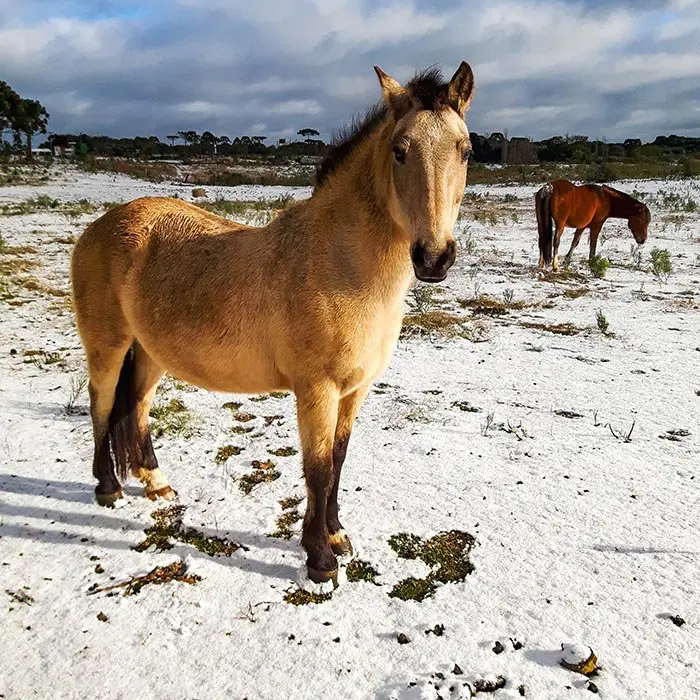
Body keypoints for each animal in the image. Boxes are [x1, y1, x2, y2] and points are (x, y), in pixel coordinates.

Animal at [71, 61, 476, 584]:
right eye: (399, 151)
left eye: (465, 151)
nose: (434, 258)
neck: (338, 264)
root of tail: (99, 227)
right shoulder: (317, 389)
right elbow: (318, 469)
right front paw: (320, 560)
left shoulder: (355, 390)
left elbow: (338, 460)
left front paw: (337, 535)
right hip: (109, 343)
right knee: (102, 404)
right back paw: (108, 488)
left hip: (153, 351)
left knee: (136, 405)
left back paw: (156, 483)